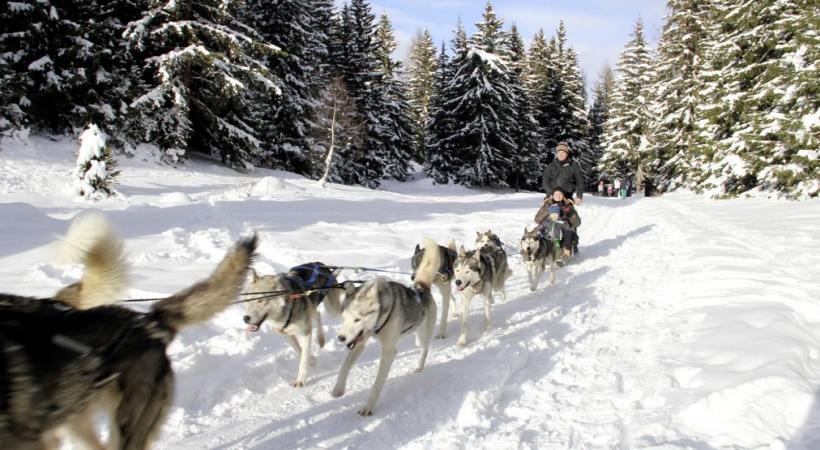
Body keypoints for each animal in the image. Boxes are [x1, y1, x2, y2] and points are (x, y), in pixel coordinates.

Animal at [332, 237, 442, 416]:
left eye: (357, 319)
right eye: (343, 318)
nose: (341, 338)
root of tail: (421, 288)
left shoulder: (389, 352)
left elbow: (377, 384)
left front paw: (368, 407)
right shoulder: (359, 343)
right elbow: (344, 366)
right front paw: (338, 389)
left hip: (421, 336)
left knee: (425, 349)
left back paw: (419, 366)